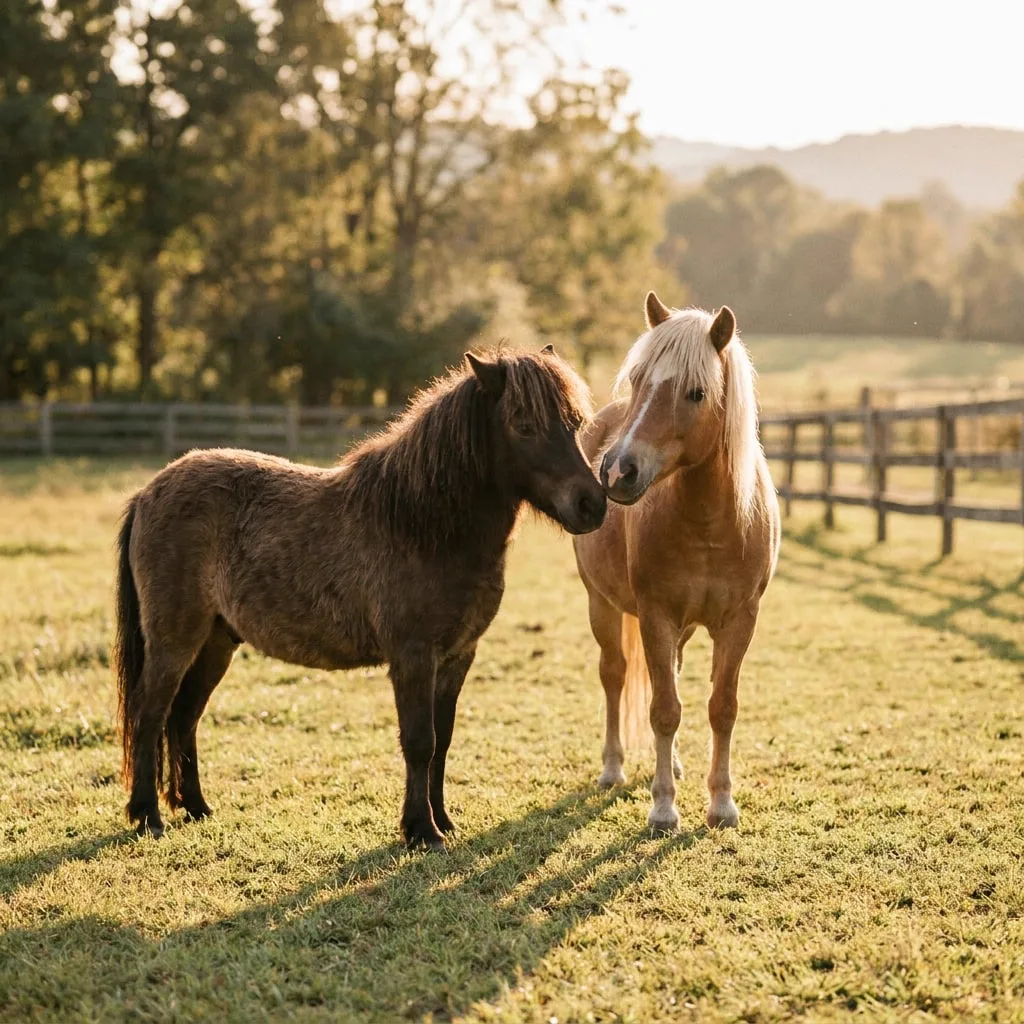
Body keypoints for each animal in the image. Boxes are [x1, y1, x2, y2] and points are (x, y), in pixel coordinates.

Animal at [114, 347, 606, 850]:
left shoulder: (457, 657)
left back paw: (196, 807)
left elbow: (443, 740)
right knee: (149, 714)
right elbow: (420, 742)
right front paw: (421, 830)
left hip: (216, 643)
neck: (422, 523)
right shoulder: (413, 657)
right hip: (175, 642)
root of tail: (147, 492)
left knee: (184, 717)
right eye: (524, 426)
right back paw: (148, 815)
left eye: (574, 423)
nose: (592, 504)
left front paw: (442, 820)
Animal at [573, 292, 780, 833]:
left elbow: (721, 707)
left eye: (695, 393)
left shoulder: (740, 620)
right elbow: (664, 708)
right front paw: (664, 808)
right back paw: (614, 769)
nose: (616, 471)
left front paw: (722, 803)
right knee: (615, 675)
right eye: (639, 379)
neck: (711, 523)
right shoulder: (656, 615)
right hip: (601, 603)